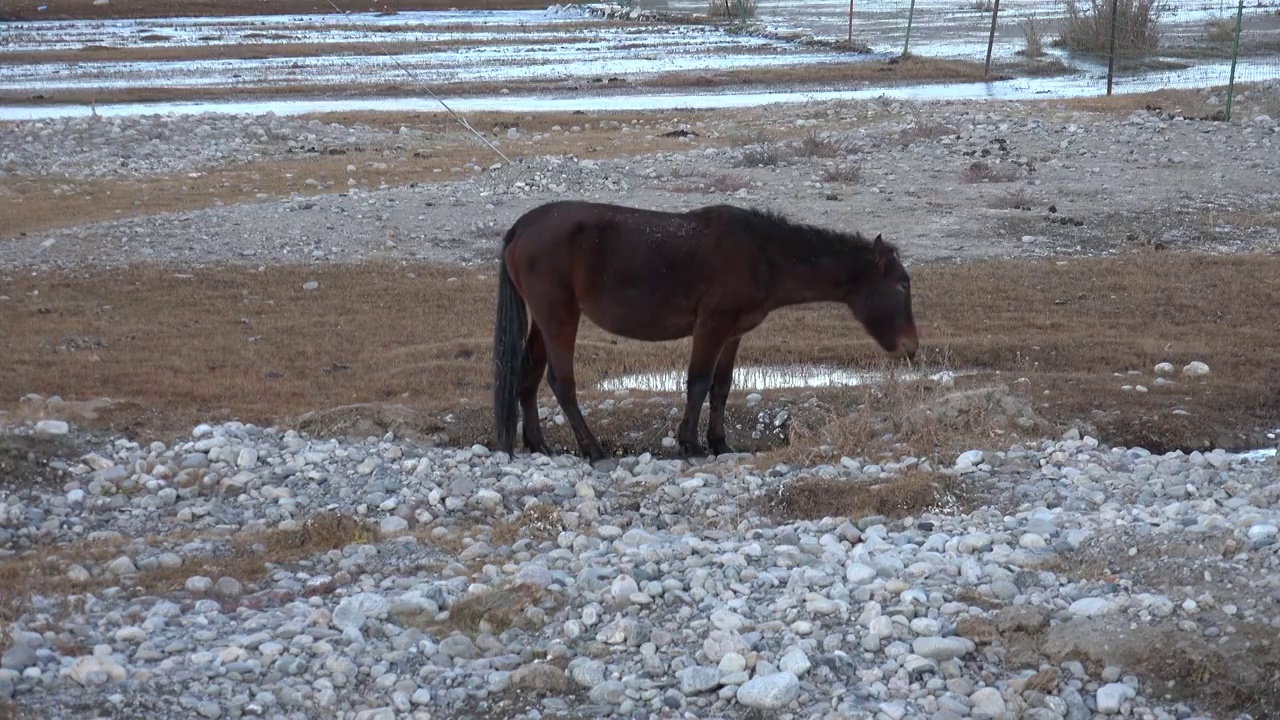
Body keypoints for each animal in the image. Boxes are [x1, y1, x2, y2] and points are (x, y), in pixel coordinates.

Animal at [488, 198, 921, 468]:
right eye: (902, 285)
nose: (912, 348)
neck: (763, 255)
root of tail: (521, 227)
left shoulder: (733, 331)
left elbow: (721, 386)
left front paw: (719, 442)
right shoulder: (712, 324)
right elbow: (697, 381)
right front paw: (691, 444)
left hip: (546, 320)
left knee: (528, 377)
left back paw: (539, 444)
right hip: (558, 315)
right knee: (561, 382)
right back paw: (592, 449)